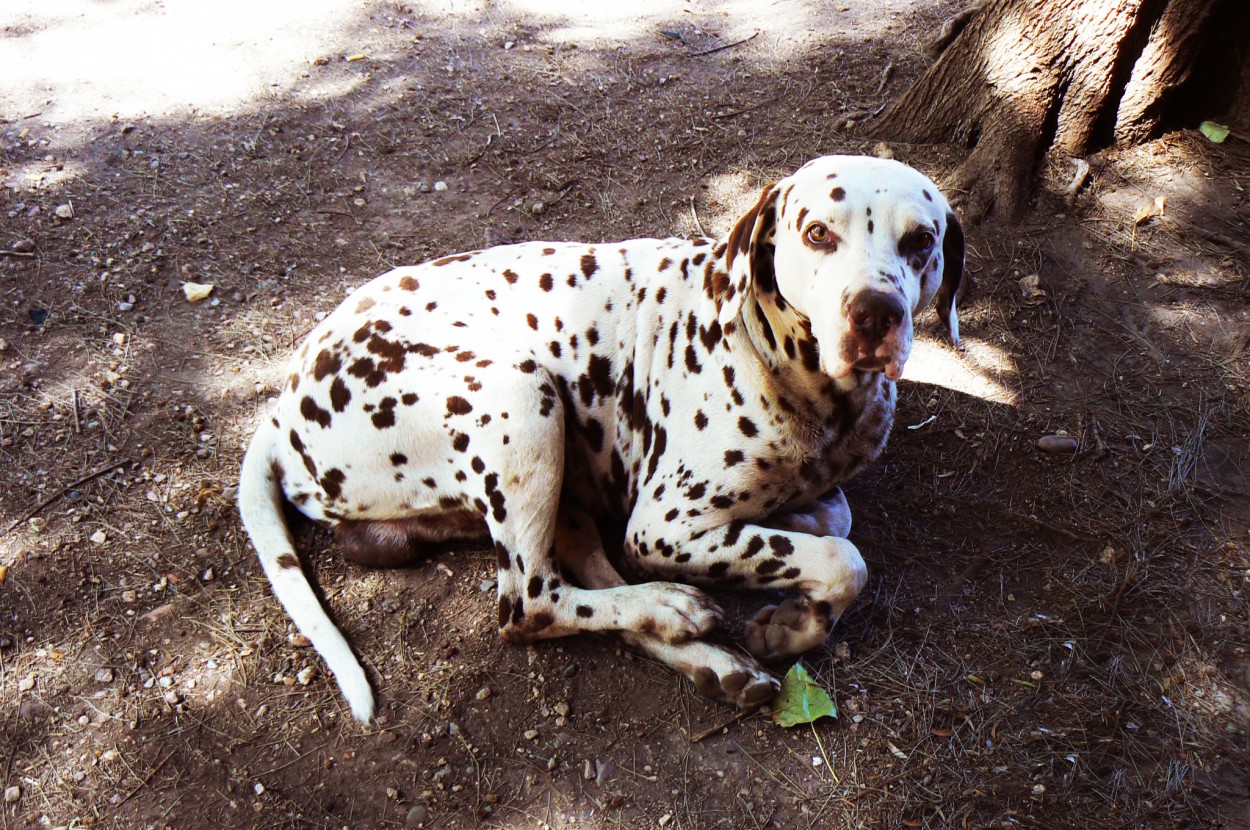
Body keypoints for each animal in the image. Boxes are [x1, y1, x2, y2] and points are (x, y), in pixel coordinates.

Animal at [241, 153, 965, 720]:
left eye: (920, 240)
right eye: (817, 233)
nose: (875, 313)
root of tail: (280, 409)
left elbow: (834, 520)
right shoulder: (665, 528)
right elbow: (844, 558)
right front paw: (797, 624)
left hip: (557, 480)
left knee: (586, 571)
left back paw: (705, 654)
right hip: (522, 396)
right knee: (532, 604)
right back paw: (671, 610)